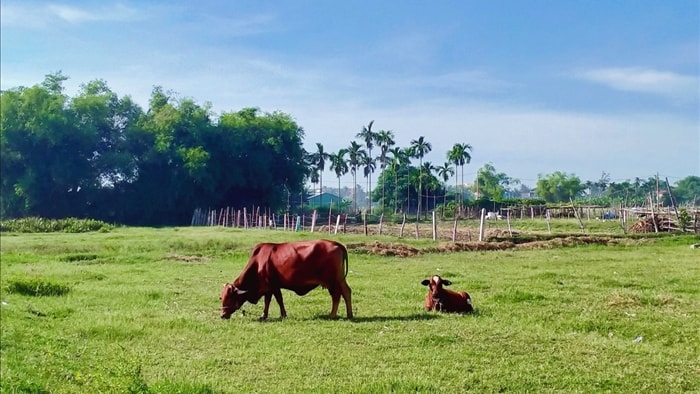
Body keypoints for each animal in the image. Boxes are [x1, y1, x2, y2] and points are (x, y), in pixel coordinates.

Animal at [220, 239, 352, 318]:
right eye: (221, 297)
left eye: (230, 298)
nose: (222, 315)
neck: (258, 263)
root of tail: (337, 244)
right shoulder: (268, 288)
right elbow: (267, 301)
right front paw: (264, 315)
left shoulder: (274, 286)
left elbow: (279, 300)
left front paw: (283, 314)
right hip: (339, 279)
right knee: (346, 292)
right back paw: (349, 314)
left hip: (333, 281)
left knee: (337, 295)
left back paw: (333, 315)